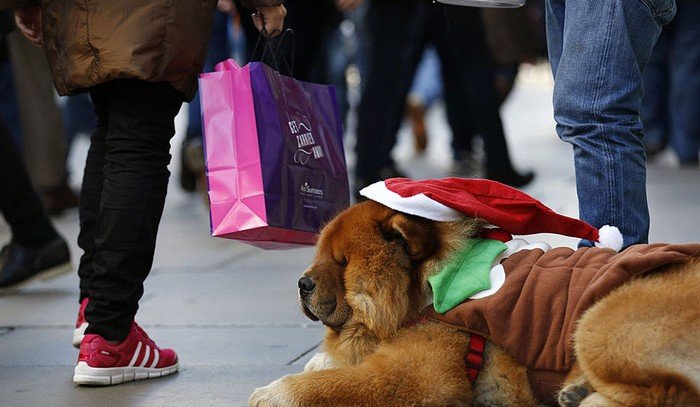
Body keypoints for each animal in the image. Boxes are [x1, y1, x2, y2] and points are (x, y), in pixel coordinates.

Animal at [250, 202, 700, 407]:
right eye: (319, 254)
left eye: (342, 263)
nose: (302, 283)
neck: (423, 292)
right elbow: (332, 364)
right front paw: (317, 362)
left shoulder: (416, 375)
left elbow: (337, 384)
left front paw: (272, 393)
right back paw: (577, 390)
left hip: (598, 321)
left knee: (667, 393)